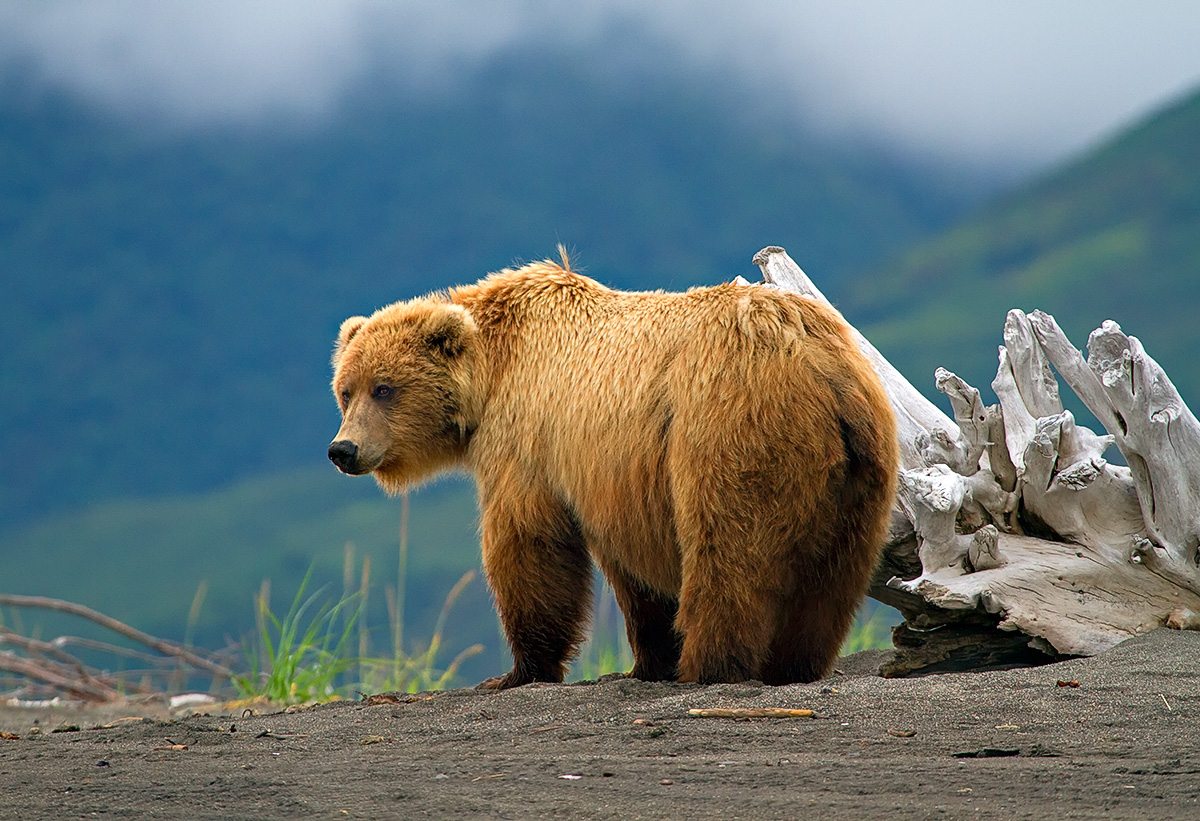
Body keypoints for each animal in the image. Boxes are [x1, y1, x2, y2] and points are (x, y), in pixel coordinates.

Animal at [328, 251, 899, 688]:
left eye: (384, 388)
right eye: (345, 390)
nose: (343, 450)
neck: (494, 372)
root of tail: (821, 367)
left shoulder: (533, 440)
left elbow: (528, 544)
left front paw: (518, 671)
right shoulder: (618, 477)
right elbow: (636, 575)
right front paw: (650, 659)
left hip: (731, 426)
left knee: (728, 553)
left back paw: (710, 666)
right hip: (860, 473)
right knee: (831, 582)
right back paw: (794, 665)